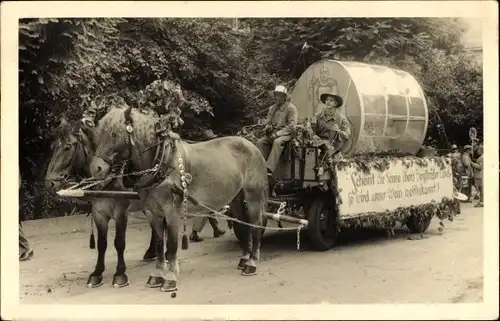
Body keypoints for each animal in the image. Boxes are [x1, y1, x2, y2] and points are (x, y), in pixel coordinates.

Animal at [44, 117, 159, 288]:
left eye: (67, 147)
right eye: (52, 147)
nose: (49, 183)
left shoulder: (120, 212)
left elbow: (119, 242)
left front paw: (120, 274)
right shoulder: (99, 213)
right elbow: (102, 244)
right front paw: (97, 273)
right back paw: (152, 251)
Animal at [91, 106, 270, 292]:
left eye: (114, 134)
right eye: (97, 134)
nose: (96, 169)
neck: (163, 162)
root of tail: (251, 145)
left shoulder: (171, 211)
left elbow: (171, 244)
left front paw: (170, 278)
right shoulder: (152, 212)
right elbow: (159, 243)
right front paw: (156, 276)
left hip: (253, 195)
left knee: (256, 224)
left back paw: (251, 263)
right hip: (236, 198)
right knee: (244, 224)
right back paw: (244, 258)